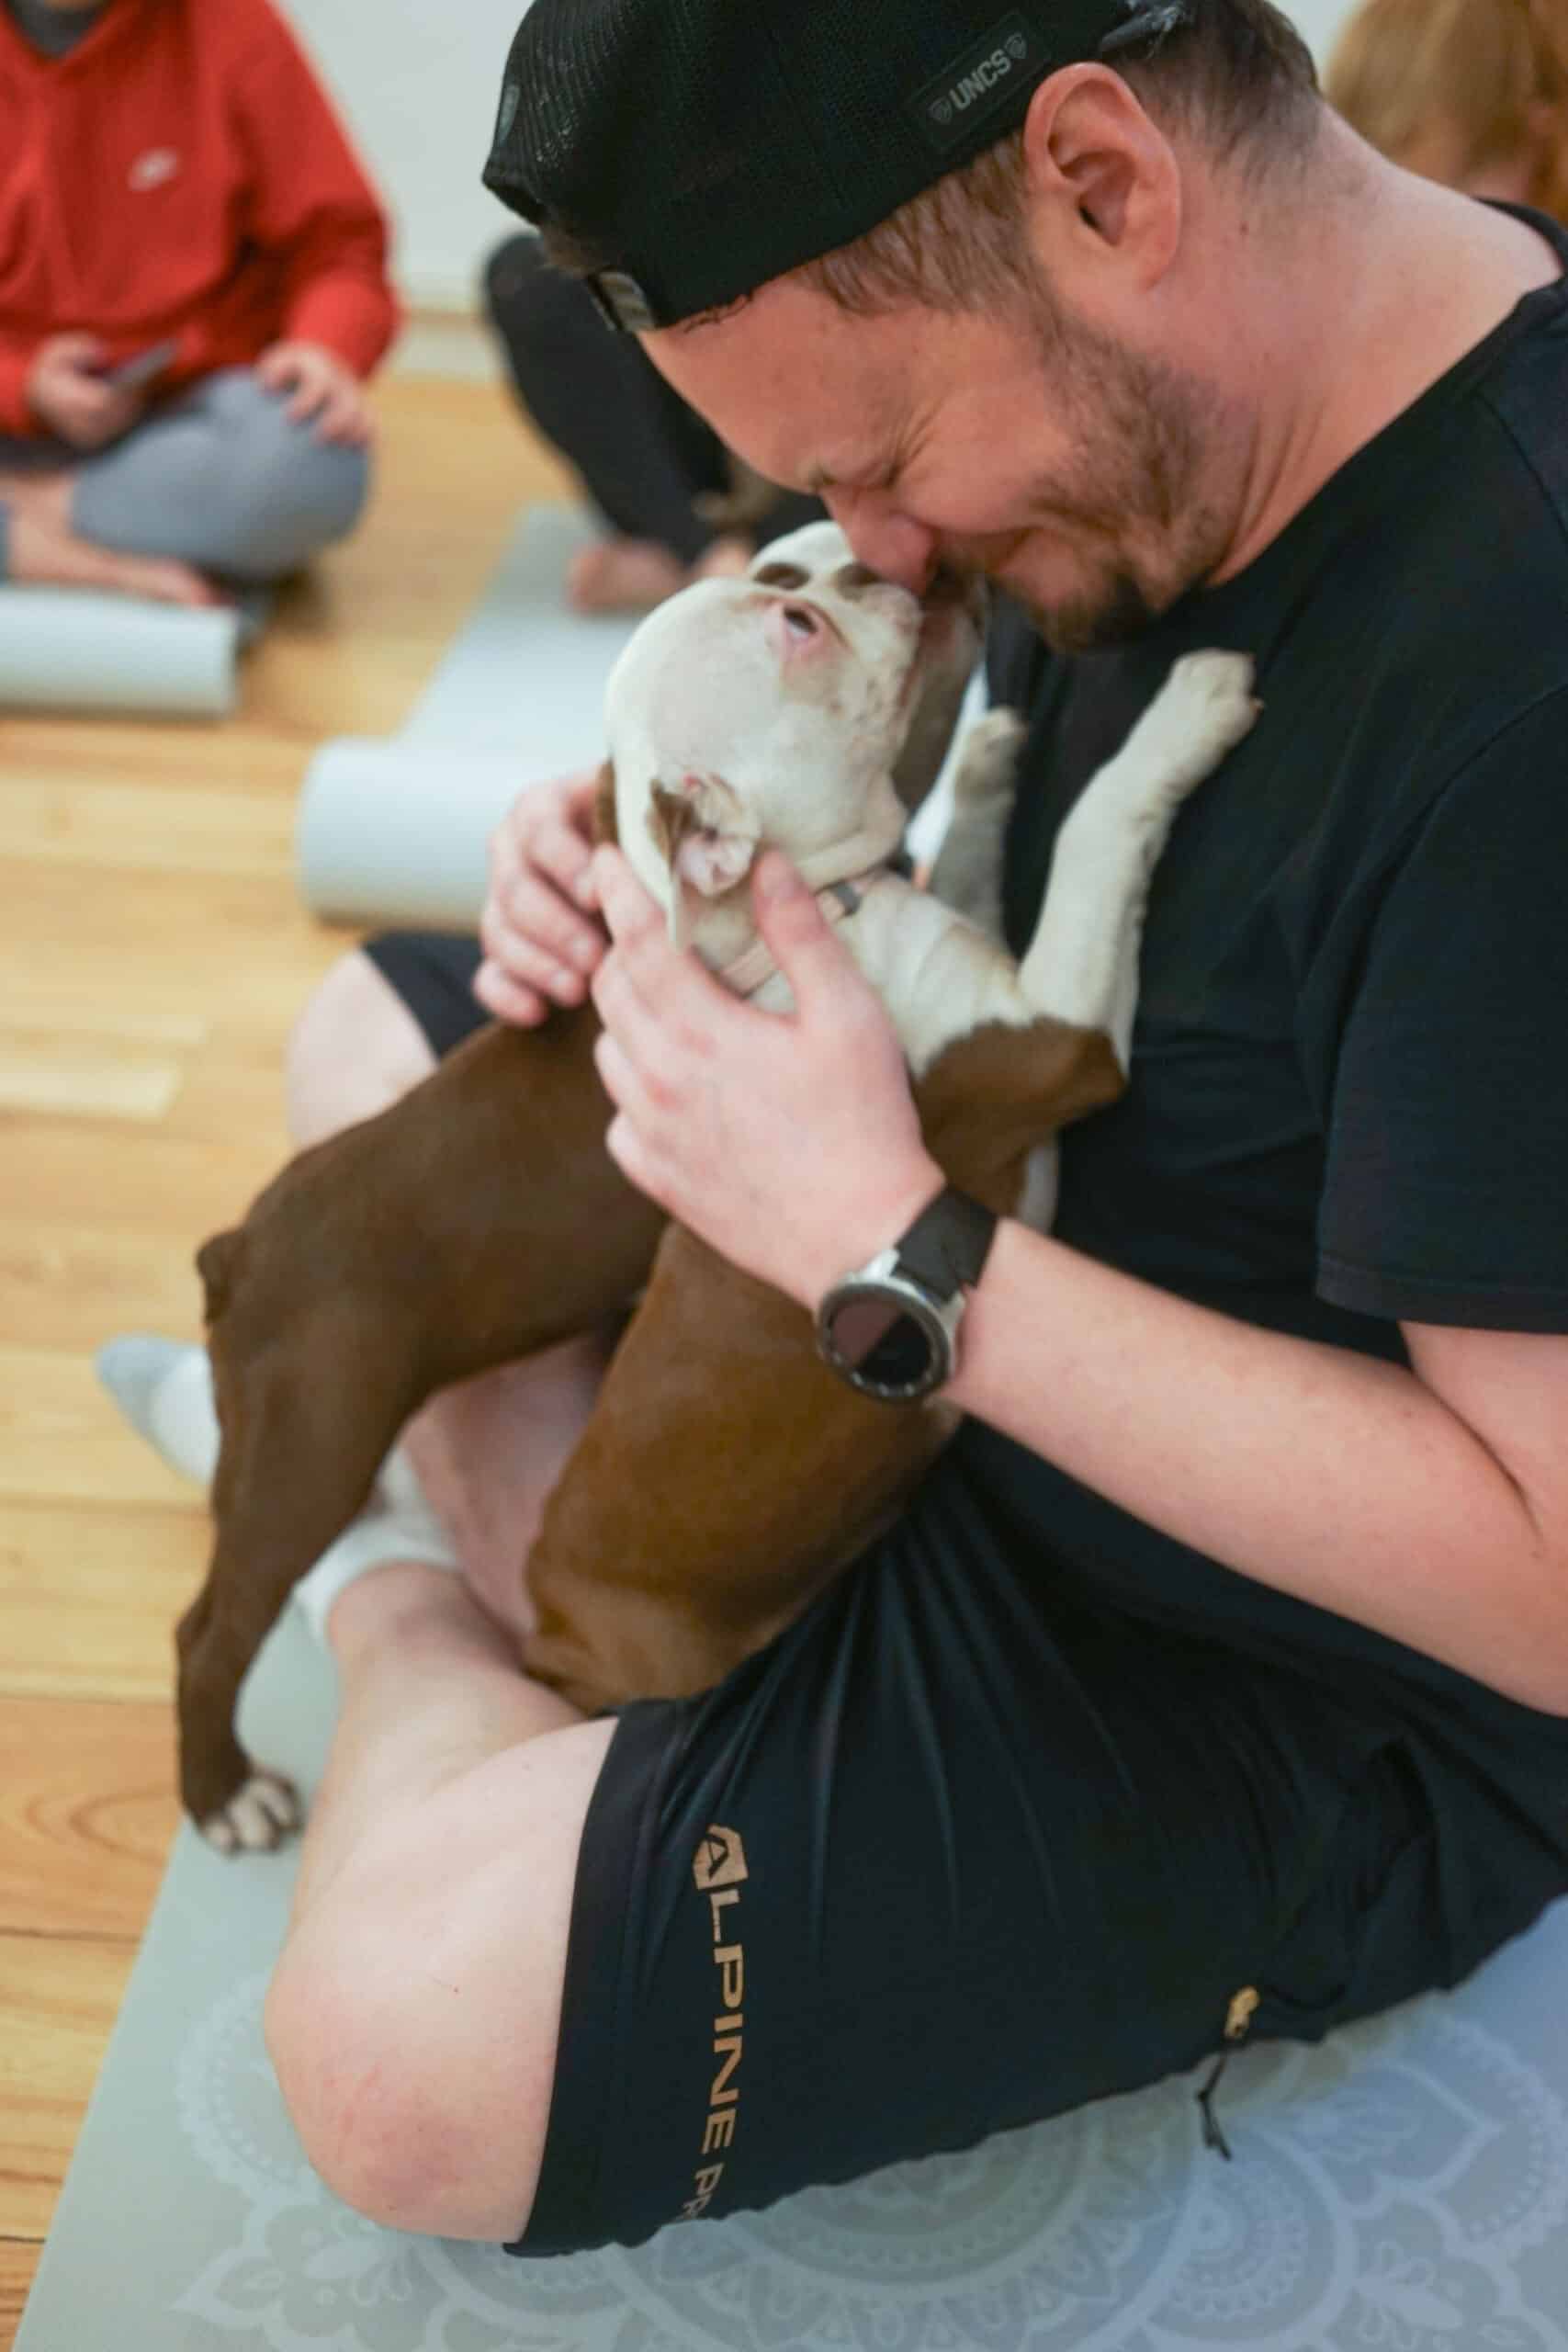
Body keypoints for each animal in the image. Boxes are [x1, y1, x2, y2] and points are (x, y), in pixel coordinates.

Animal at [175, 524, 1250, 1844]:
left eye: (795, 574)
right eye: (797, 623)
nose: (873, 558)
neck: (804, 915)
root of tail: (237, 1248)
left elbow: (973, 855)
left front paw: (994, 759)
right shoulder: (1054, 1035)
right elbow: (1102, 829)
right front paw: (1187, 708)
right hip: (313, 1440)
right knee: (212, 1626)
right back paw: (225, 1792)